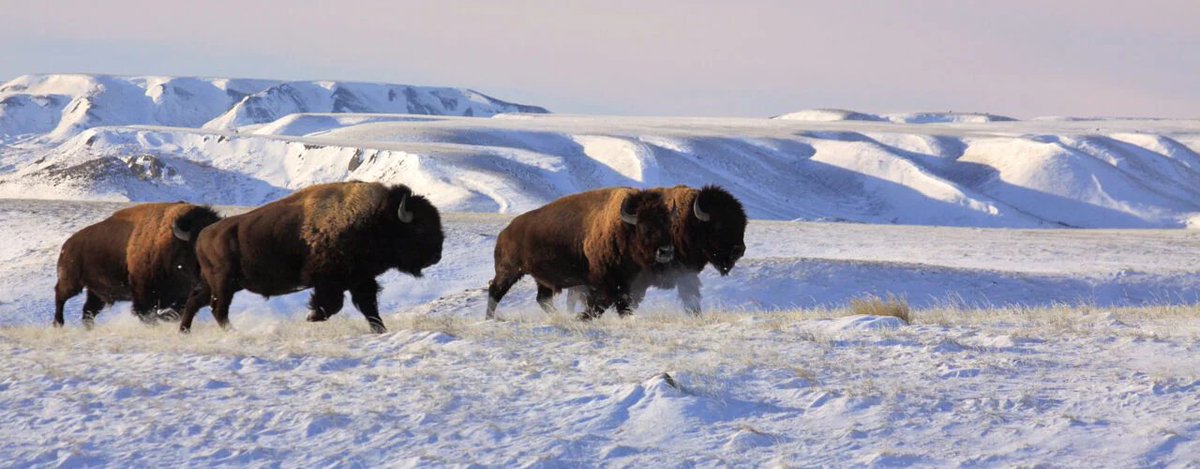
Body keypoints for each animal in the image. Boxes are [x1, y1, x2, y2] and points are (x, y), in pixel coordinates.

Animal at [54, 202, 221, 328]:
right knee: (60, 296)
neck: (171, 243)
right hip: (72, 282)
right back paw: (58, 323)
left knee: (88, 310)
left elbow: (177, 312)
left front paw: (165, 317)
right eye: (197, 246)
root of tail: (67, 245)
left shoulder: (182, 294)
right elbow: (147, 313)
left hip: (96, 292)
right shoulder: (144, 293)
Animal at [177, 181, 444, 333]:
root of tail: (203, 234)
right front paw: (312, 317)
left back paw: (184, 331)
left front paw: (380, 330)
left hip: (216, 284)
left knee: (195, 301)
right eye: (420, 228)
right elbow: (331, 305)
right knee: (217, 309)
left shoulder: (361, 280)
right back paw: (233, 332)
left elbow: (369, 308)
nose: (437, 255)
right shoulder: (329, 281)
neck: (374, 218)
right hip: (224, 283)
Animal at [487, 187, 675, 320]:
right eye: (645, 228)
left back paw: (559, 317)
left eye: (667, 224)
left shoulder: (626, 282)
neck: (623, 228)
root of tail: (504, 233)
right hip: (509, 271)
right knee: (495, 291)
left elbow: (622, 303)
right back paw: (489, 318)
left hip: (541, 279)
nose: (666, 251)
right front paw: (581, 317)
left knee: (543, 299)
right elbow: (601, 302)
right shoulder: (602, 282)